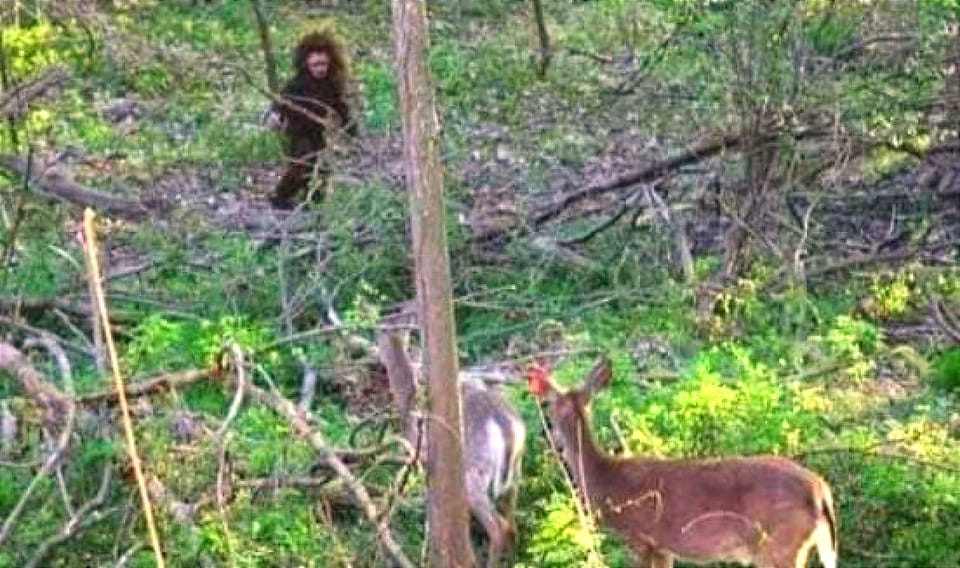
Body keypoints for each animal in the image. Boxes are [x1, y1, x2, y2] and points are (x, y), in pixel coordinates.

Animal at [376, 330, 524, 564]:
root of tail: (507, 426)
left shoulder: (425, 458)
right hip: (515, 473)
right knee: (511, 522)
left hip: (474, 472)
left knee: (498, 527)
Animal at [528, 360, 836, 568]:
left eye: (547, 406)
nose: (544, 433)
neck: (604, 477)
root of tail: (820, 491)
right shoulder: (663, 546)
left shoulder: (641, 538)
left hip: (778, 546)